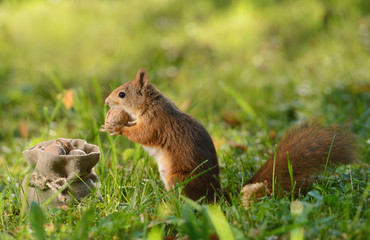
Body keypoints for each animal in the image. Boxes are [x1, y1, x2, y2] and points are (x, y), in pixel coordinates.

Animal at [101, 68, 358, 203]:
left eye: (122, 94)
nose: (106, 102)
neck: (150, 104)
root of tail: (217, 194)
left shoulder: (158, 122)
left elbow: (144, 135)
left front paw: (117, 128)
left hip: (179, 178)